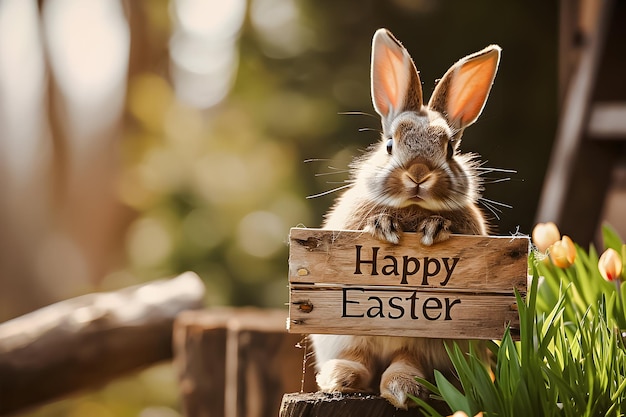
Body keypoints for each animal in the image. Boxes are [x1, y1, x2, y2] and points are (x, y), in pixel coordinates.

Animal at [310, 29, 500, 410]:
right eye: (388, 146)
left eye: (450, 150)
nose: (418, 173)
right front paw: (384, 227)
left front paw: (434, 229)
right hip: (347, 330)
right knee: (359, 356)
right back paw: (339, 379)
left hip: (424, 341)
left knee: (407, 360)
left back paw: (402, 389)